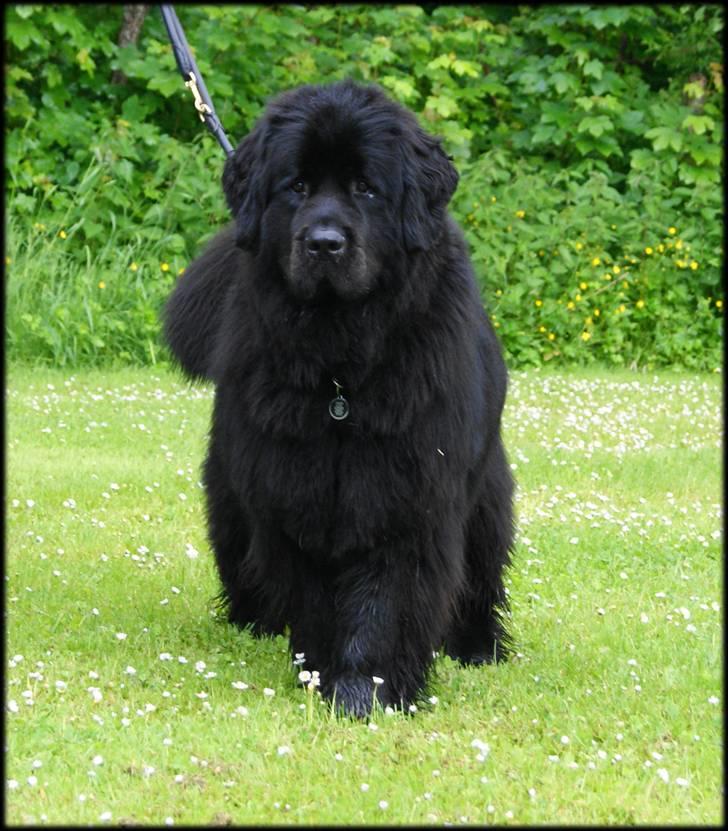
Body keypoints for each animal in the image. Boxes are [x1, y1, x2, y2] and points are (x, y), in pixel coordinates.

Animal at [164, 81, 516, 720]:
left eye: (366, 188)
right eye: (297, 186)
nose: (324, 244)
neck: (340, 377)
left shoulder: (410, 489)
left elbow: (389, 596)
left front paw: (366, 689)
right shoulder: (289, 487)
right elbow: (316, 594)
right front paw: (325, 675)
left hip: (485, 499)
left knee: (480, 571)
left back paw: (479, 645)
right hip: (232, 485)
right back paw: (253, 621)